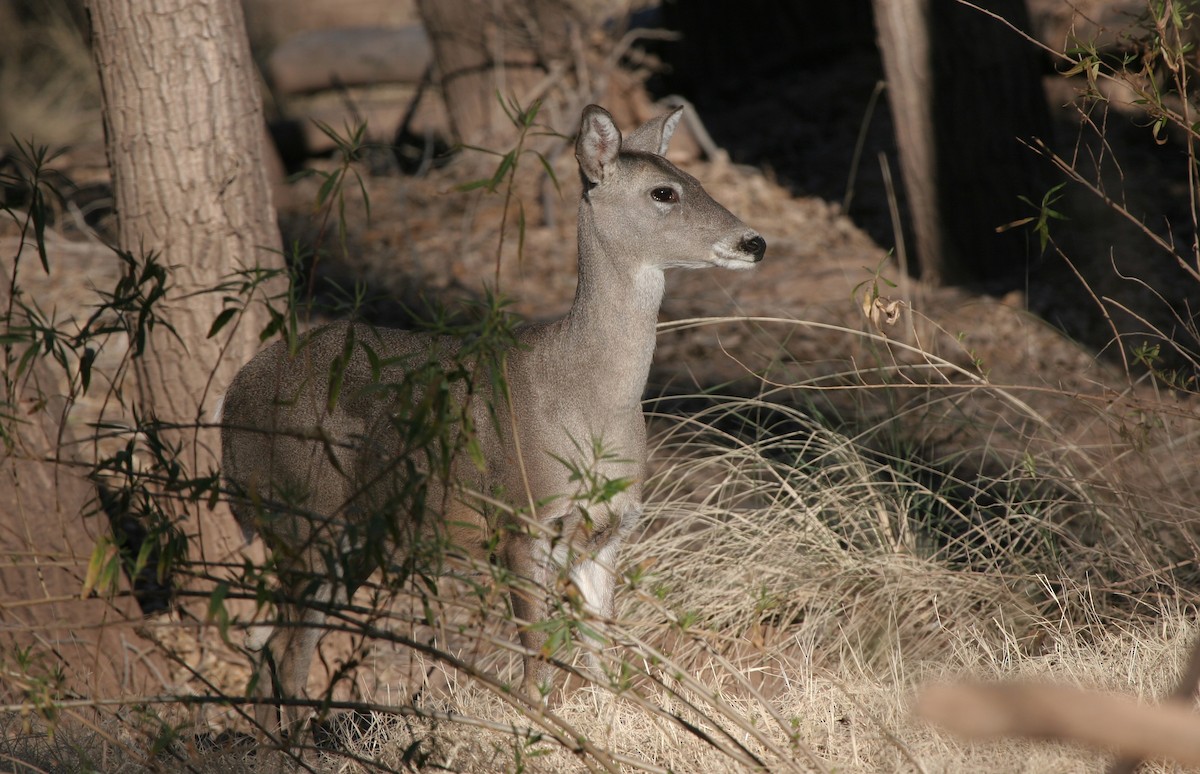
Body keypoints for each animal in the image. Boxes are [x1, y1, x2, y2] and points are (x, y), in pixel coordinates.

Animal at [219, 104, 766, 734]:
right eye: (664, 192)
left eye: (694, 179)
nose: (755, 241)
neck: (587, 404)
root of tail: (230, 401)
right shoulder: (520, 517)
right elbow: (535, 662)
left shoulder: (605, 533)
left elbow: (603, 654)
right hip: (304, 514)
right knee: (288, 651)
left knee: (266, 641)